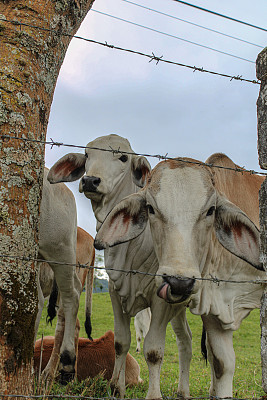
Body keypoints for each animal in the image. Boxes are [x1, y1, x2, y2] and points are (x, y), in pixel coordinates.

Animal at [46, 135, 193, 400]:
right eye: (87, 154)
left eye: (123, 157)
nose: (90, 180)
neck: (133, 246)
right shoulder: (116, 292)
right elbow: (121, 342)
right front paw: (117, 387)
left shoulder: (160, 300)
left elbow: (153, 350)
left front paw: (153, 395)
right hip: (179, 308)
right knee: (185, 342)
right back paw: (183, 392)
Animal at [95, 154, 266, 400]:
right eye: (150, 208)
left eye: (211, 210)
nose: (179, 282)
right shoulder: (213, 307)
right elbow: (222, 363)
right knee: (188, 342)